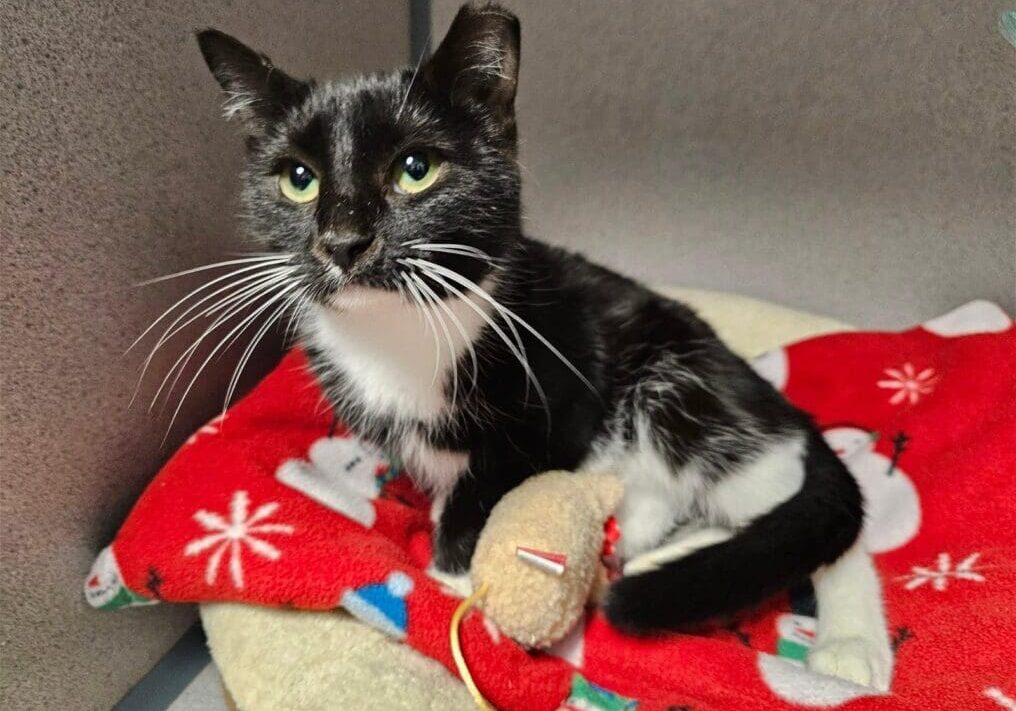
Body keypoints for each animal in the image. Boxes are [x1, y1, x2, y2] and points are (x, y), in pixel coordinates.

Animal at [196, 0, 890, 690]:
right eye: (299, 179)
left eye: (416, 170)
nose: (342, 240)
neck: (398, 332)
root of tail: (771, 399)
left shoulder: (555, 398)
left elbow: (485, 485)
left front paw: (449, 581)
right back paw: (644, 553)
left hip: (678, 385)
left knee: (792, 495)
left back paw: (849, 644)